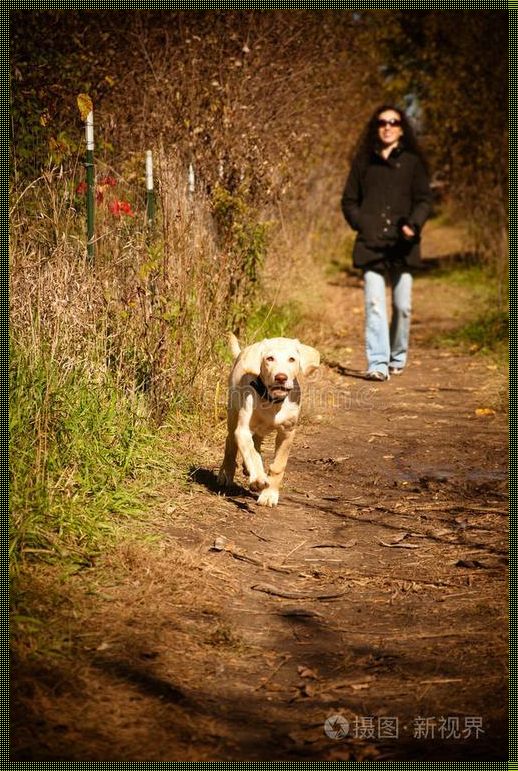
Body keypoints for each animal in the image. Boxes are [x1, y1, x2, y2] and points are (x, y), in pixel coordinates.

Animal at [218, 334, 320, 506]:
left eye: (292, 359)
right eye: (270, 358)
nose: (281, 377)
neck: (272, 402)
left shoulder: (287, 433)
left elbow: (278, 465)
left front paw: (269, 495)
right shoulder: (243, 430)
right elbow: (251, 453)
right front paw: (258, 479)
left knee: (257, 442)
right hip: (233, 414)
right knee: (231, 443)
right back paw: (226, 473)